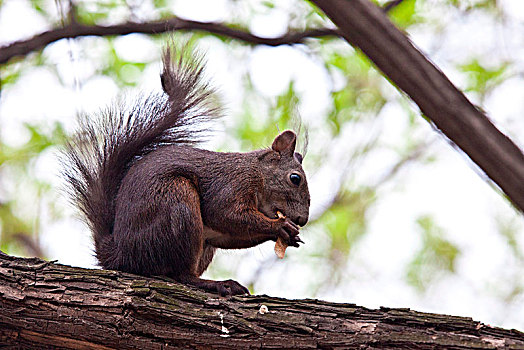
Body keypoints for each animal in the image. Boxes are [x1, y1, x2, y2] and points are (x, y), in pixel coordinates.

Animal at [63, 45, 310, 296]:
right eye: (295, 178)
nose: (302, 219)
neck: (258, 174)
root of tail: (121, 254)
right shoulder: (233, 184)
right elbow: (226, 214)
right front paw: (279, 226)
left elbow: (231, 234)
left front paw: (289, 235)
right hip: (177, 202)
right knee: (180, 275)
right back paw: (216, 284)